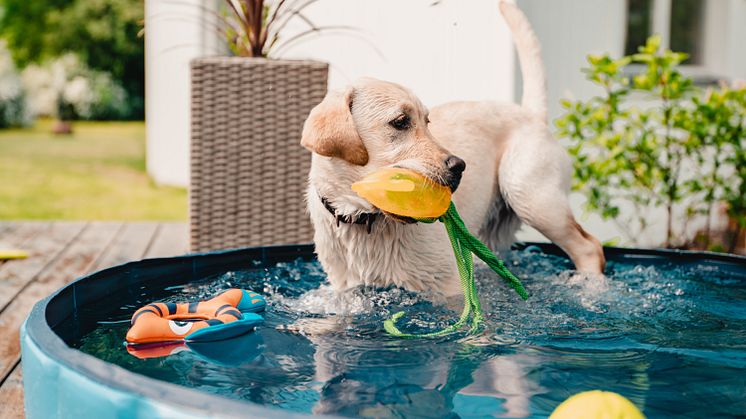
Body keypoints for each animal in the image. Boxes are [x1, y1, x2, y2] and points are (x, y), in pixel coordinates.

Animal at [300, 0, 600, 302]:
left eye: (427, 121)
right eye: (400, 121)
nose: (459, 166)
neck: (364, 219)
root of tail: (530, 114)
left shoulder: (452, 287)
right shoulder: (347, 289)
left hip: (530, 195)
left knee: (590, 247)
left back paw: (591, 289)